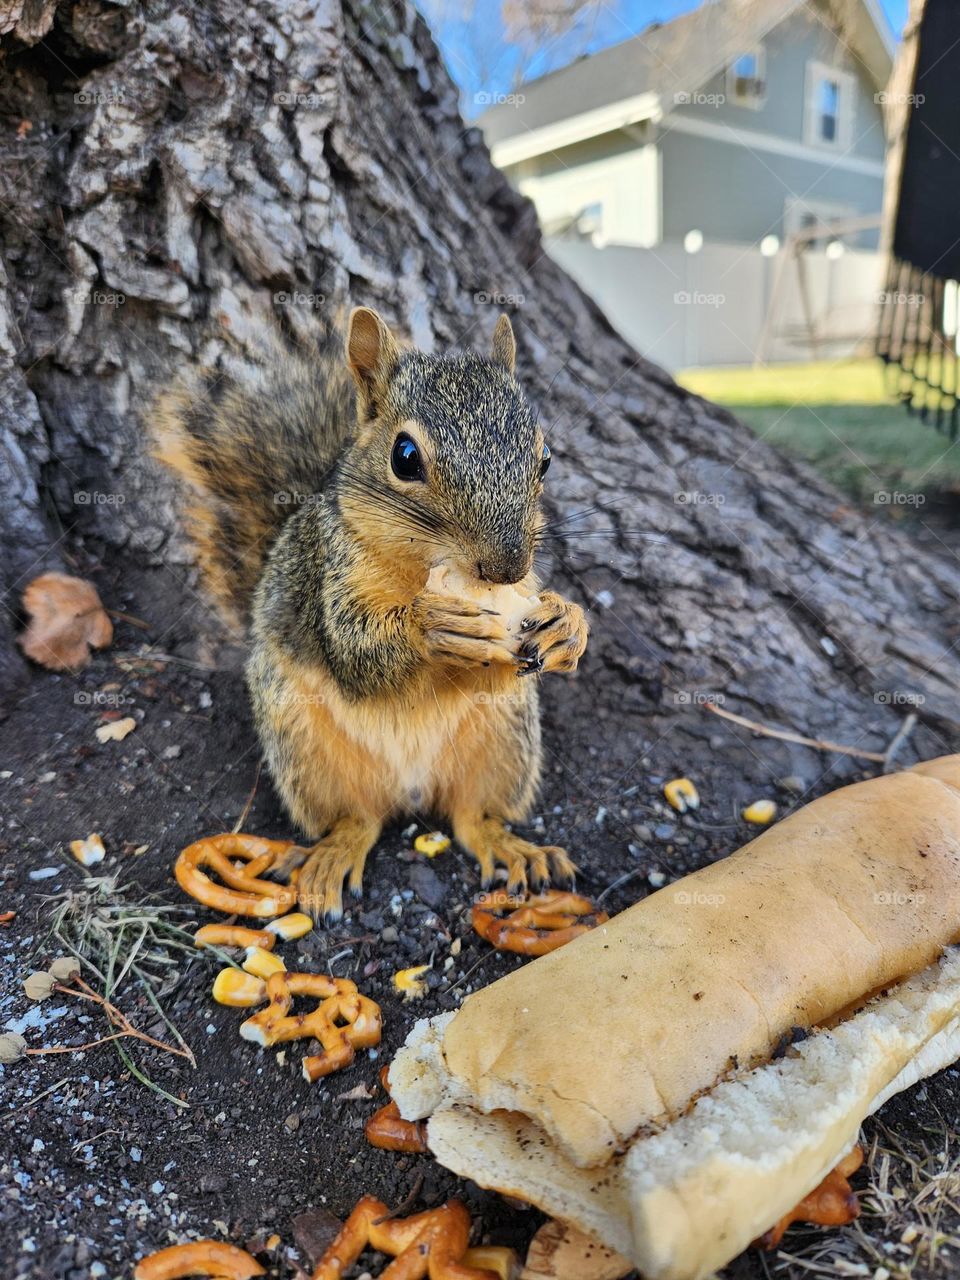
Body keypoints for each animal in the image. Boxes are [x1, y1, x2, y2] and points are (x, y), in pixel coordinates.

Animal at [152, 308, 589, 921]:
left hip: (503, 740)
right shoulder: (328, 575)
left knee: (471, 816)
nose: (505, 567)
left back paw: (511, 847)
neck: (421, 568)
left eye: (545, 459)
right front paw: (433, 626)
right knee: (355, 819)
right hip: (304, 744)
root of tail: (410, 789)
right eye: (405, 458)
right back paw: (332, 858)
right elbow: (355, 653)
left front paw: (567, 626)